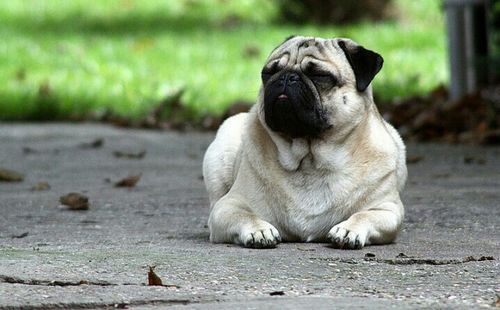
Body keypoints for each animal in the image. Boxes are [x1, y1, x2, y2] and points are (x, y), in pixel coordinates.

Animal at [202, 36, 406, 249]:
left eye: (320, 75)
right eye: (268, 73)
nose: (287, 77)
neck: (310, 158)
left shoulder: (387, 210)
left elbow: (363, 215)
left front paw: (348, 230)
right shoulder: (228, 206)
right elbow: (245, 215)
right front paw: (260, 230)